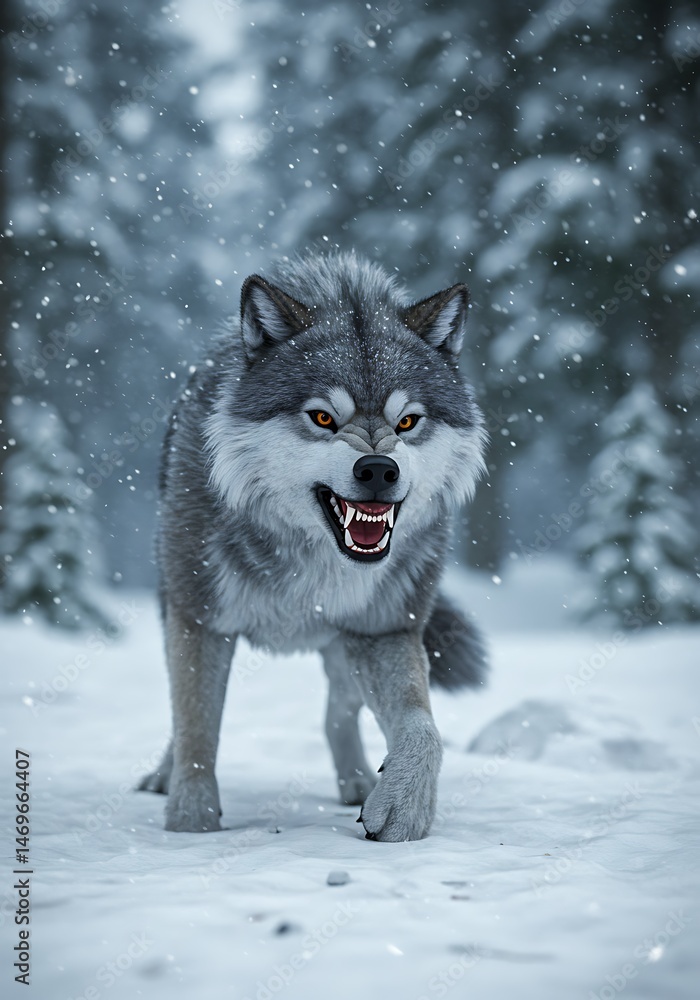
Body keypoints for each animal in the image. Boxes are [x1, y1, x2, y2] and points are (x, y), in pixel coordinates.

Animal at [138, 251, 488, 842]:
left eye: (407, 421)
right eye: (323, 417)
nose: (378, 469)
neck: (315, 564)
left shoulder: (385, 628)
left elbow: (423, 729)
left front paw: (402, 808)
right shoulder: (200, 619)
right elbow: (197, 728)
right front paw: (191, 822)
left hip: (345, 646)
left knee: (337, 714)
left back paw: (356, 782)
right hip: (174, 605)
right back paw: (162, 776)